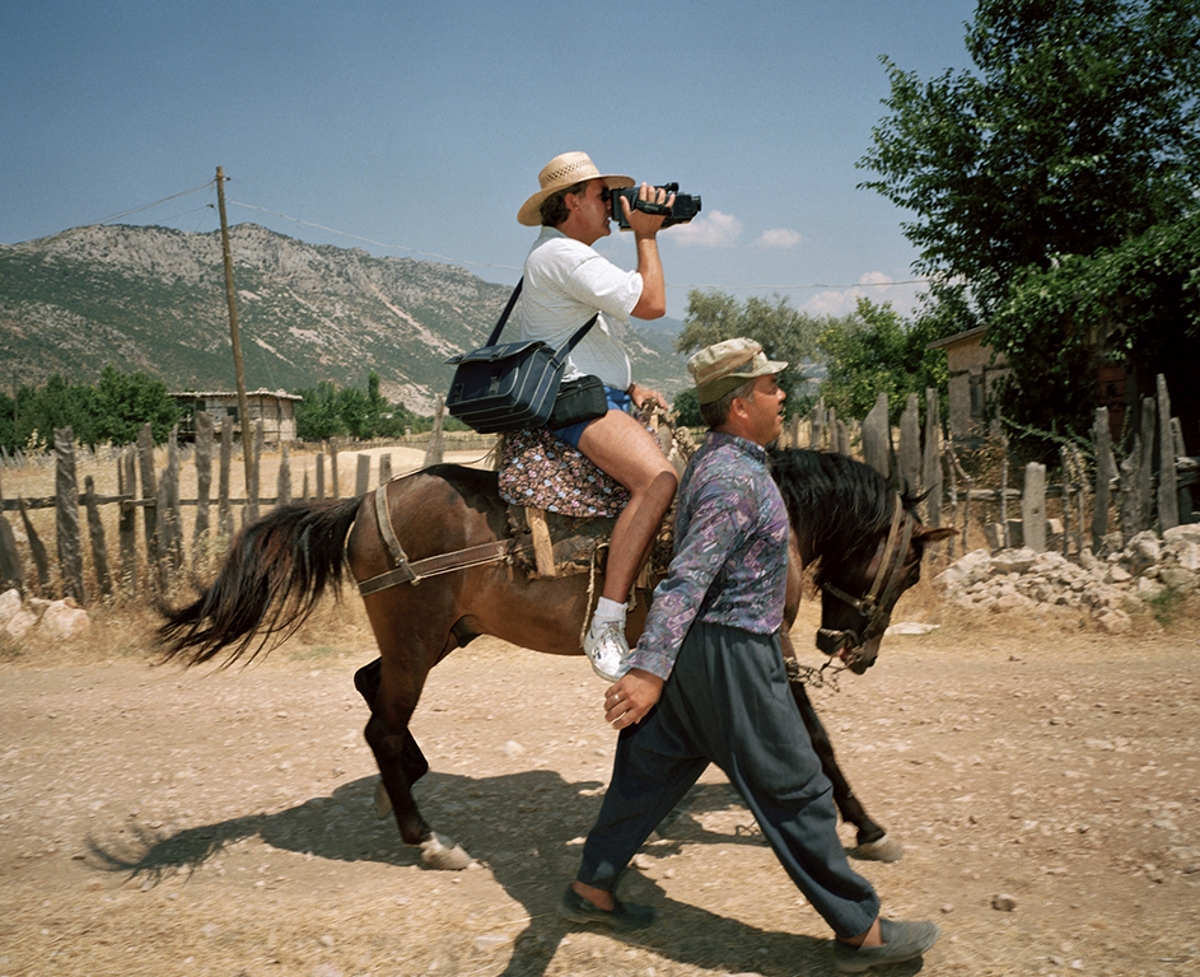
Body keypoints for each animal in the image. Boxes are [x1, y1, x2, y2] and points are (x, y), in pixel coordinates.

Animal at [159, 446, 950, 868]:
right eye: (911, 568)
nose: (852, 651)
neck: (758, 516)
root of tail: (363, 502)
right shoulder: (761, 644)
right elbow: (814, 738)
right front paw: (867, 827)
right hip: (416, 641)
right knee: (380, 722)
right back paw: (426, 837)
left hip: (441, 637)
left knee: (369, 689)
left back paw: (406, 780)